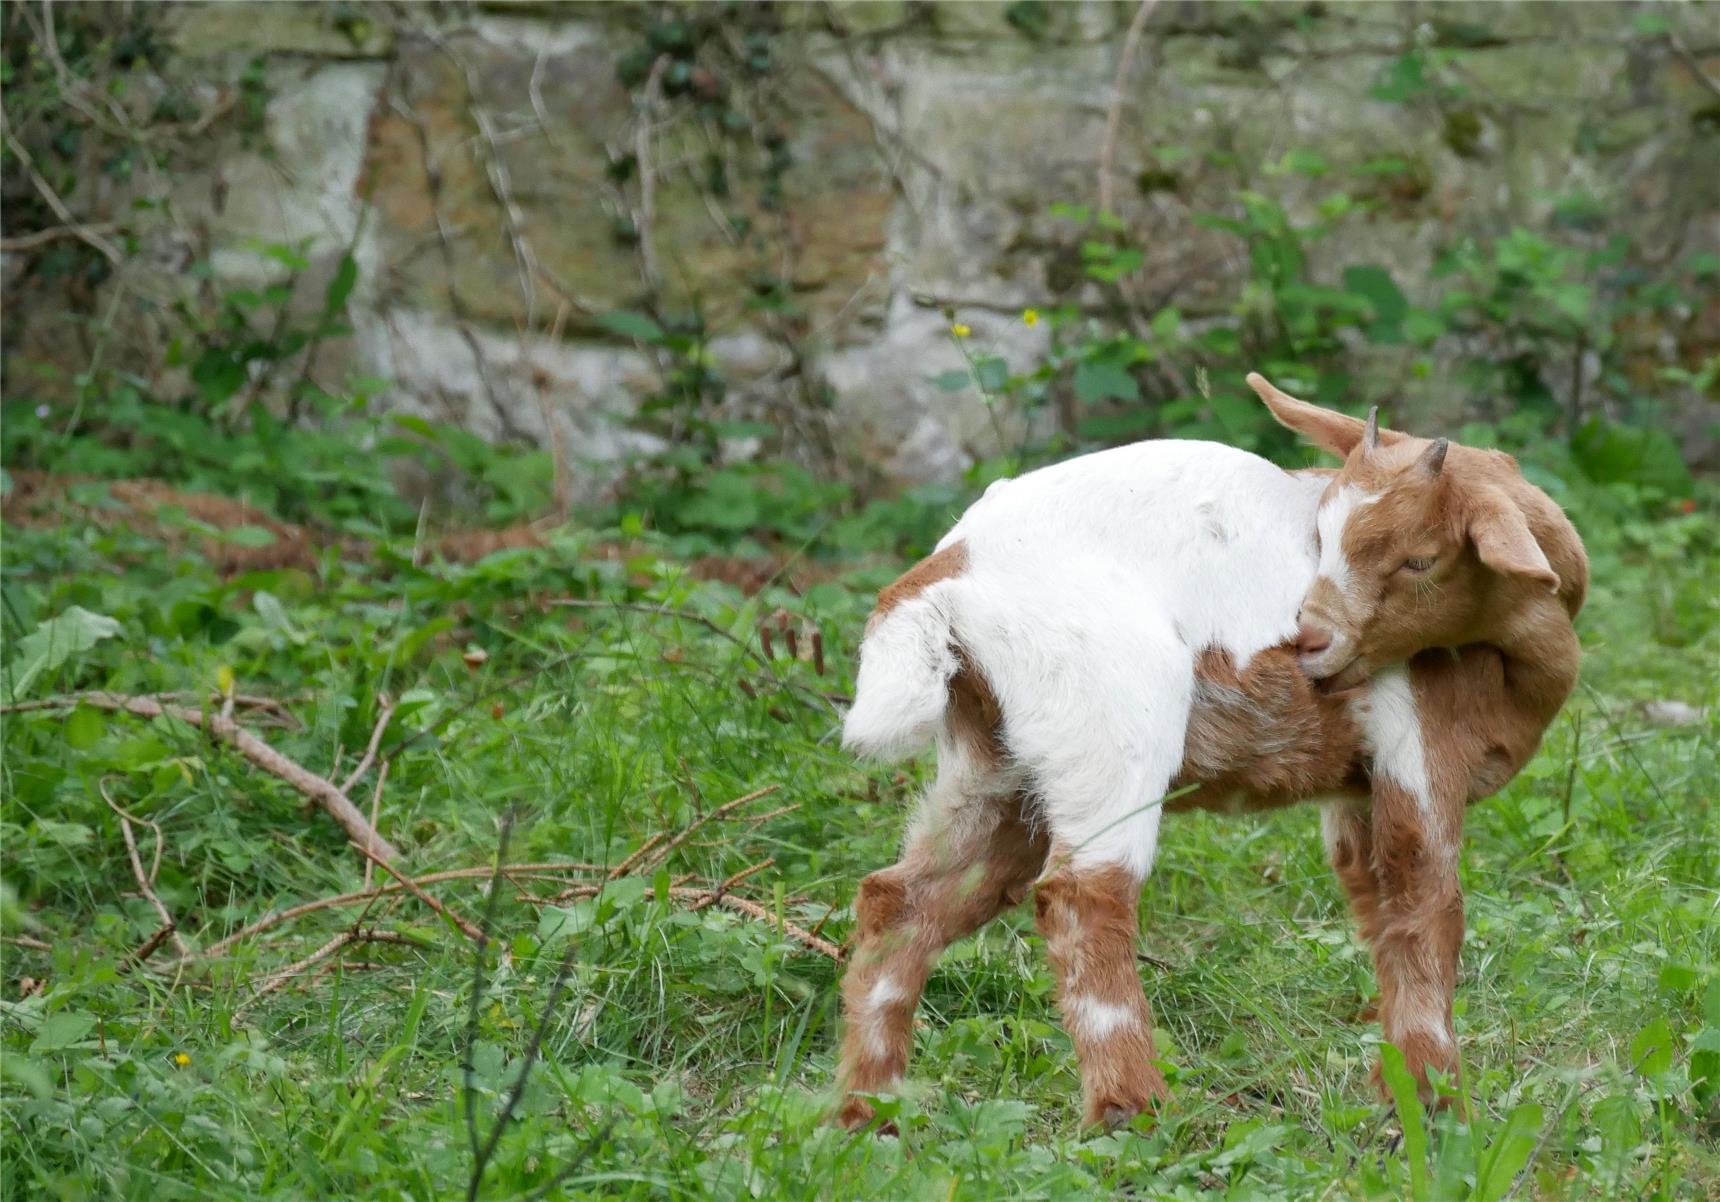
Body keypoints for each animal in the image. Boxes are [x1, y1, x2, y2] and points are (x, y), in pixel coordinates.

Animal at [832, 373, 1582, 1128]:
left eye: (1420, 559)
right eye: (1323, 536)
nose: (1309, 642)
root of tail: (946, 572)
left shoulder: (1353, 788)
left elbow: (1378, 907)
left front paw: (1397, 1089)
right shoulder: (1421, 746)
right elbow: (1427, 905)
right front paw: (1437, 1104)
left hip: (1001, 762)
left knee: (905, 898)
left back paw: (868, 1112)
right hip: (1108, 723)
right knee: (1082, 897)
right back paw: (1134, 1111)